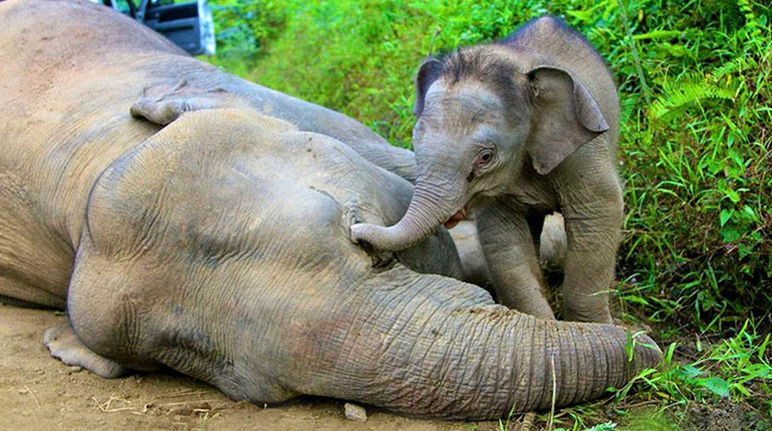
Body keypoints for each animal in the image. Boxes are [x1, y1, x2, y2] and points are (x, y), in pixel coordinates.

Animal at [352, 16, 624, 324]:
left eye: (485, 157)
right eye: (414, 143)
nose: (356, 232)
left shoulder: (583, 152)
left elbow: (598, 213)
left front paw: (596, 327)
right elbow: (503, 239)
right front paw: (542, 323)